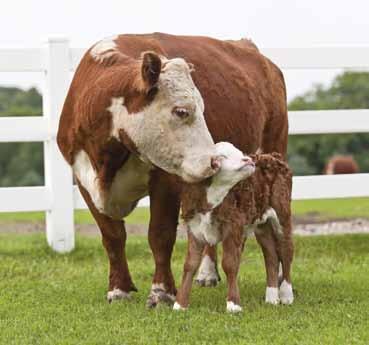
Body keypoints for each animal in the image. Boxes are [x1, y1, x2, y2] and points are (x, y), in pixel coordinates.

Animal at [173, 142, 294, 312]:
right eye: (222, 156)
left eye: (240, 152)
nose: (248, 159)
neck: (211, 200)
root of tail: (272, 156)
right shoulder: (194, 228)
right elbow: (190, 264)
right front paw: (180, 304)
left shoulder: (233, 227)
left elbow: (230, 263)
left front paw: (233, 304)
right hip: (262, 224)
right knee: (271, 255)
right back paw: (271, 298)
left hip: (282, 215)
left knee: (286, 251)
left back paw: (286, 295)